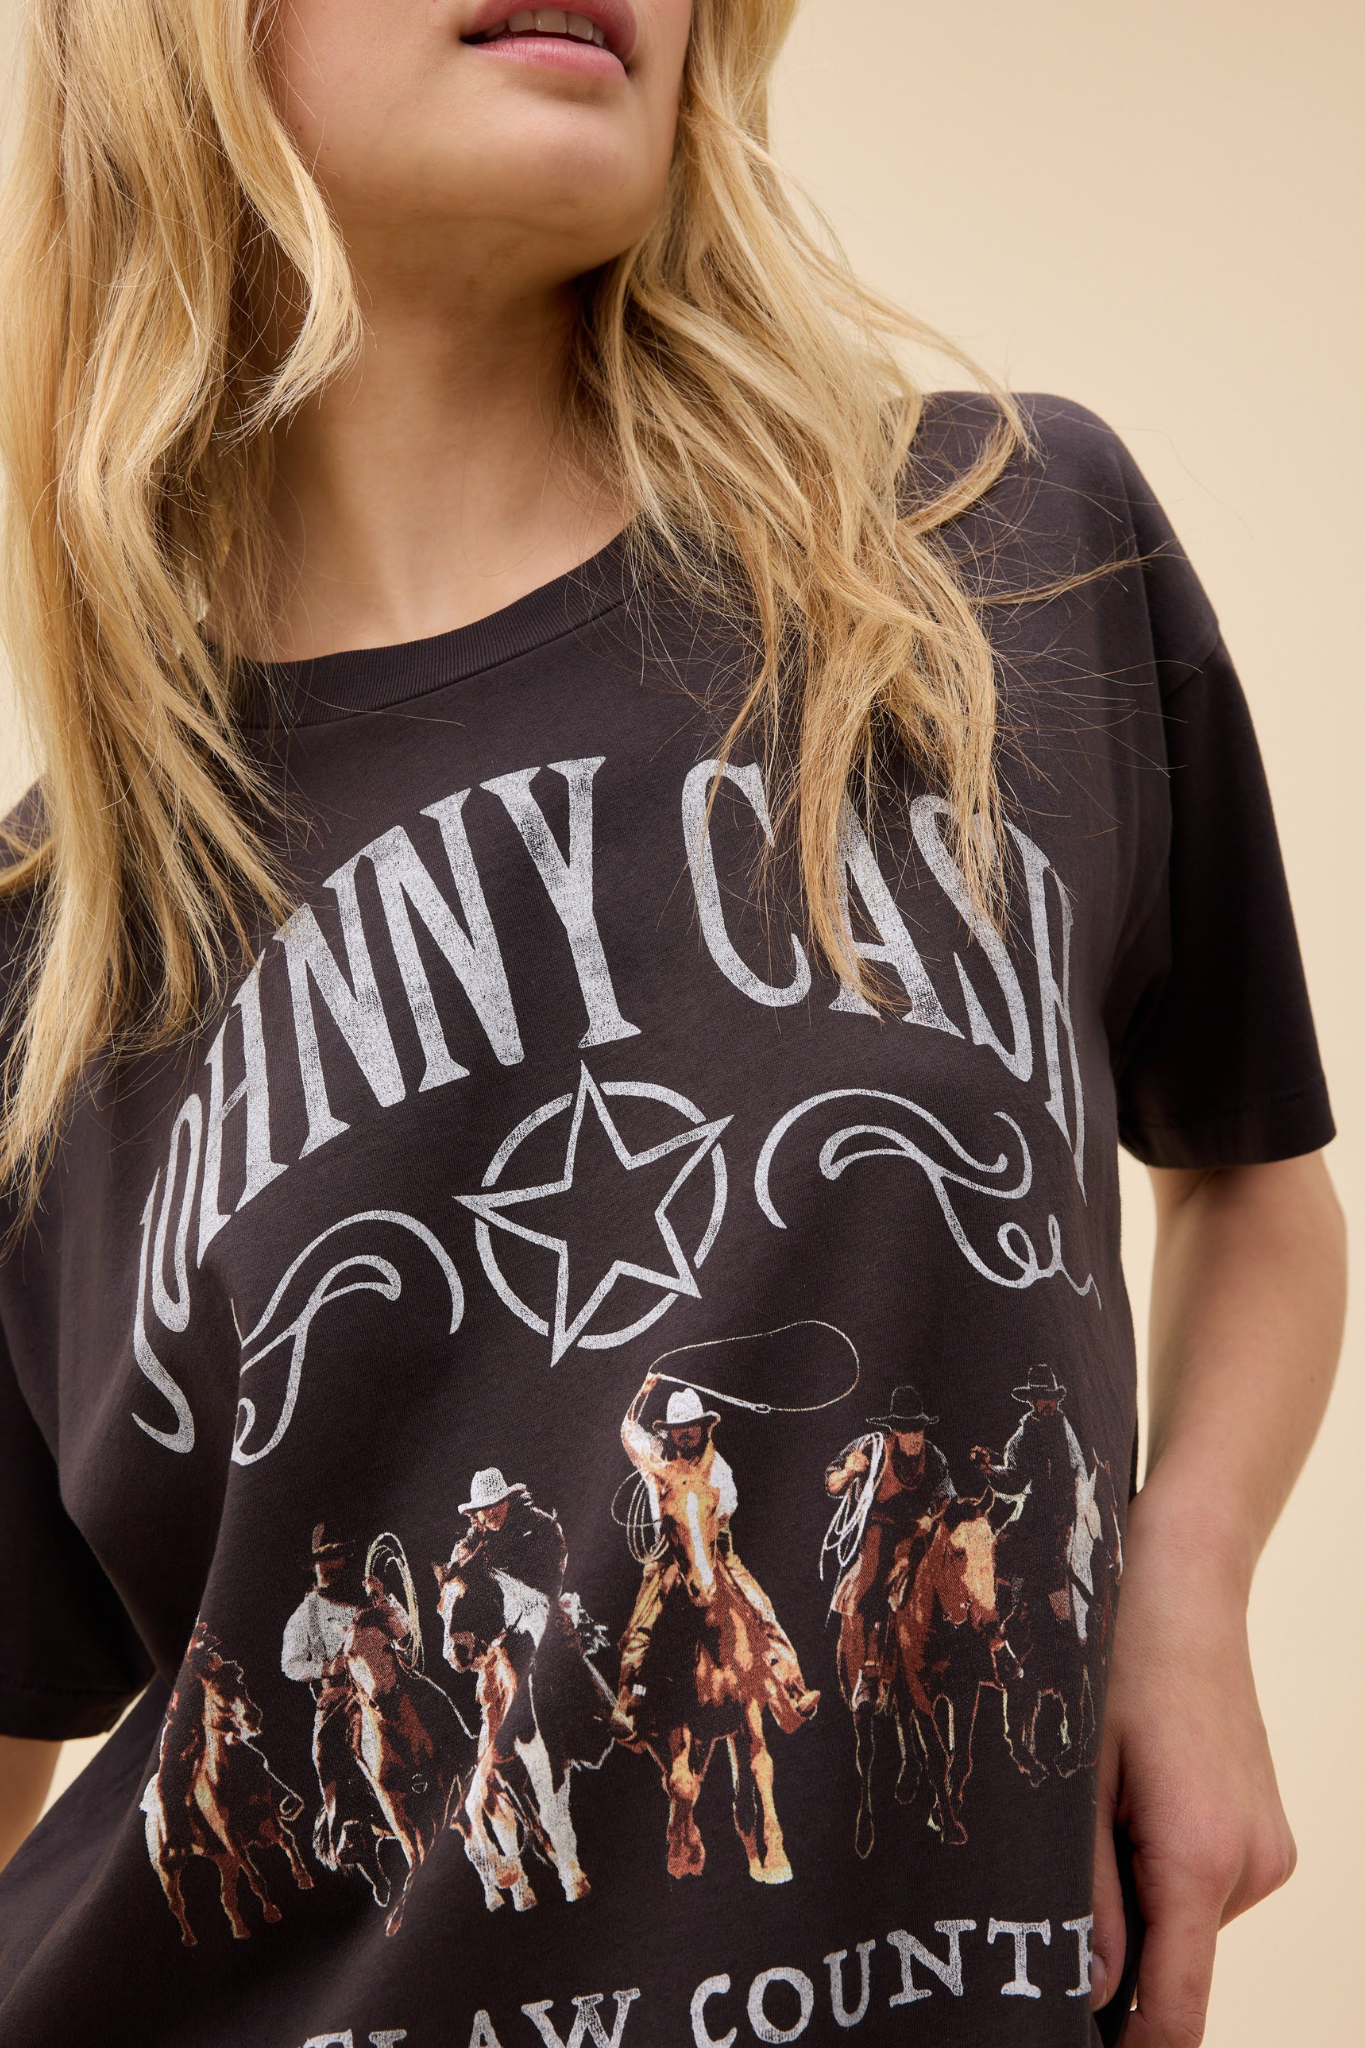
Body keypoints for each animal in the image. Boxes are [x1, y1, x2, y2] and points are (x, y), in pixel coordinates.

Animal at [142, 1627, 312, 1945]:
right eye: (219, 1692)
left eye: (240, 1681)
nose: (252, 1717)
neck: (233, 1773)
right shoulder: (232, 1838)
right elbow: (256, 1876)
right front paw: (272, 1911)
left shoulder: (265, 1819)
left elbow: (287, 1839)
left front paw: (303, 1876)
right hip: (168, 1870)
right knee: (177, 1904)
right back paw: (189, 1938)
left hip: (223, 1861)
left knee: (227, 1897)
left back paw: (241, 1930)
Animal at [434, 1546, 616, 1912]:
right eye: (441, 1607)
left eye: (468, 1596)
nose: (453, 1656)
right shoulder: (519, 1769)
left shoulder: (554, 1759)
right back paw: (512, 1892)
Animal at [879, 1488, 1024, 1848]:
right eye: (958, 1552)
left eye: (992, 1549)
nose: (990, 1625)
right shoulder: (919, 1692)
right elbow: (937, 1757)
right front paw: (949, 1823)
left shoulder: (965, 1690)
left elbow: (960, 1758)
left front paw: (947, 1811)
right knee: (903, 1716)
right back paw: (907, 1779)